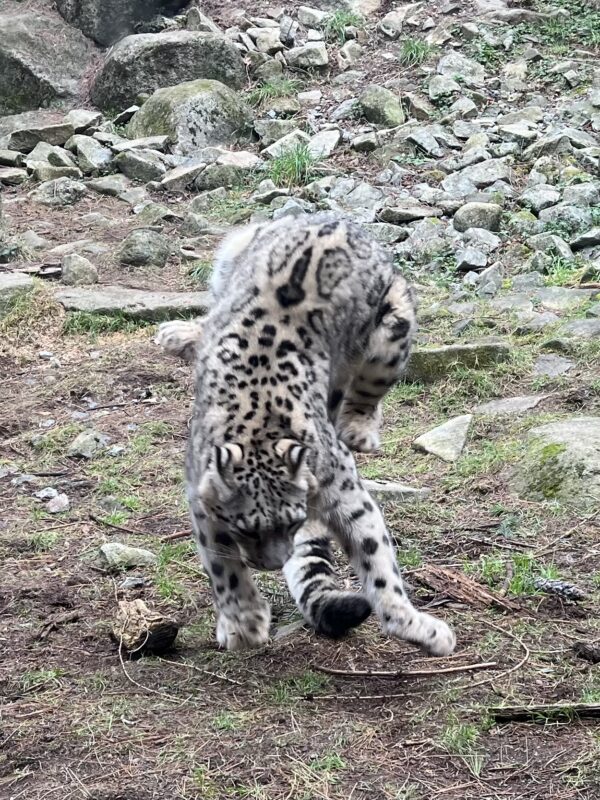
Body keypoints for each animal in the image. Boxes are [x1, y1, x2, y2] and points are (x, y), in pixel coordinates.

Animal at [155, 212, 456, 656]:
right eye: (245, 528)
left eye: (292, 523)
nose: (271, 563)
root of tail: (333, 216)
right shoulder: (201, 499)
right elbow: (223, 567)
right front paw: (245, 622)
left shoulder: (345, 491)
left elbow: (376, 557)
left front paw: (415, 624)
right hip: (229, 257)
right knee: (209, 309)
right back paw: (181, 333)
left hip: (393, 332)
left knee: (369, 390)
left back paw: (358, 428)